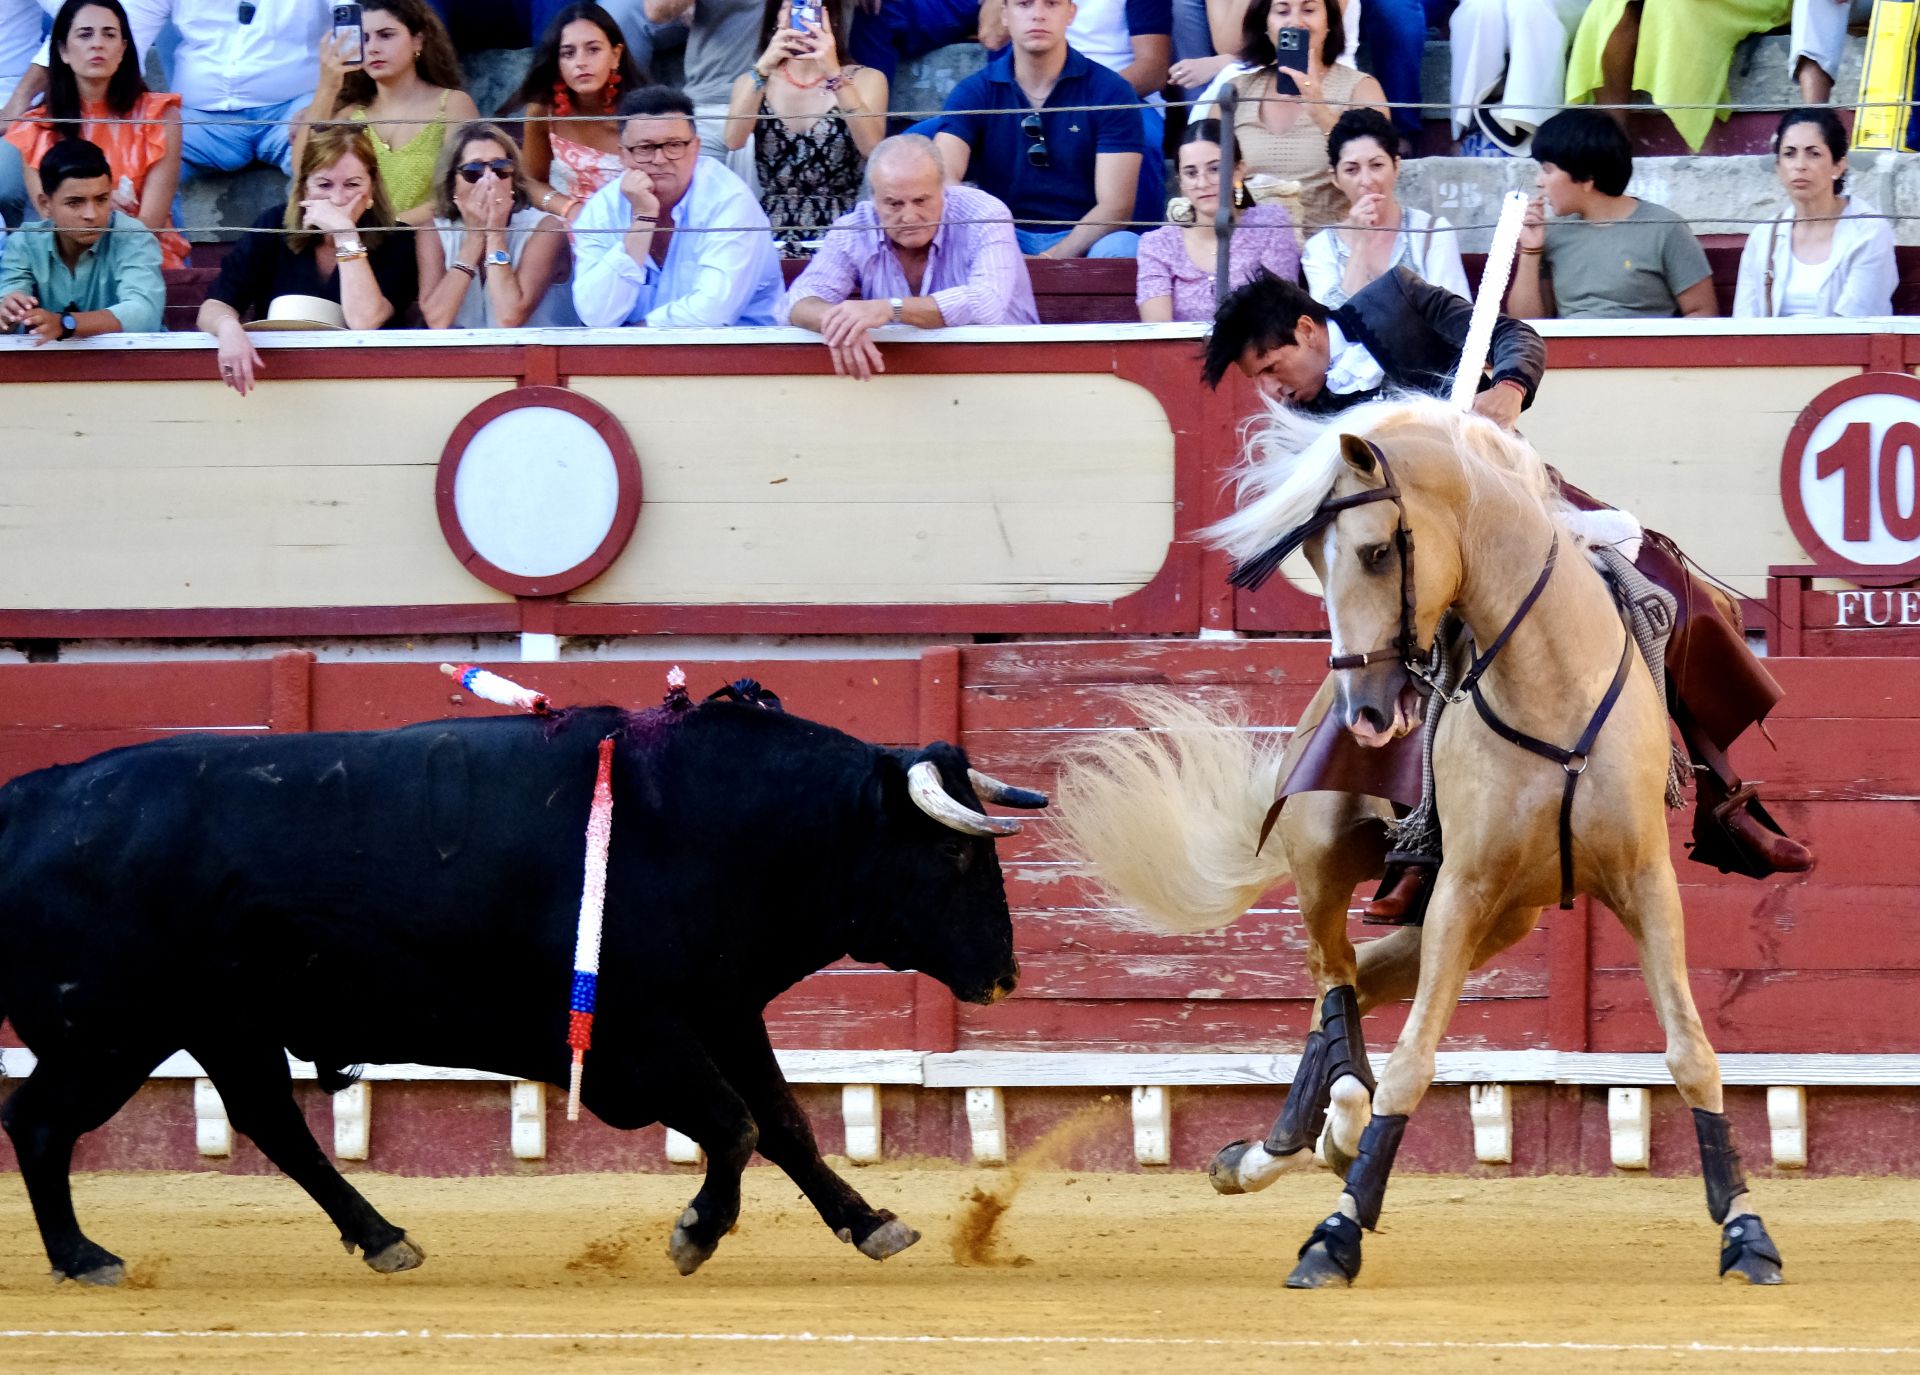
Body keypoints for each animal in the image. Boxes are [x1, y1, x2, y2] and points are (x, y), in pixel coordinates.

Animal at [0, 702, 1044, 1282]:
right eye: (955, 853)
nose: (1004, 976)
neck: (708, 822)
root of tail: (31, 797)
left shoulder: (722, 1011)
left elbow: (784, 1122)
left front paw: (871, 1223)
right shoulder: (637, 1037)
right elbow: (738, 1123)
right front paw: (695, 1232)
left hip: (215, 1023)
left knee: (271, 1120)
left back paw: (383, 1236)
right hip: (108, 1029)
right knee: (40, 1120)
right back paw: (84, 1257)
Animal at [1052, 397, 1781, 1290]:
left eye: (1374, 551)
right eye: (1311, 555)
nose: (1368, 712)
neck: (1554, 688)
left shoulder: (1643, 881)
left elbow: (1691, 1049)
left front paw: (1745, 1229)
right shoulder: (1462, 887)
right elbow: (1411, 1062)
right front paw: (1336, 1235)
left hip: (1505, 915)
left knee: (1356, 981)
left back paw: (1302, 1137)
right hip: (1332, 859)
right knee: (1333, 976)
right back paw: (1314, 1130)